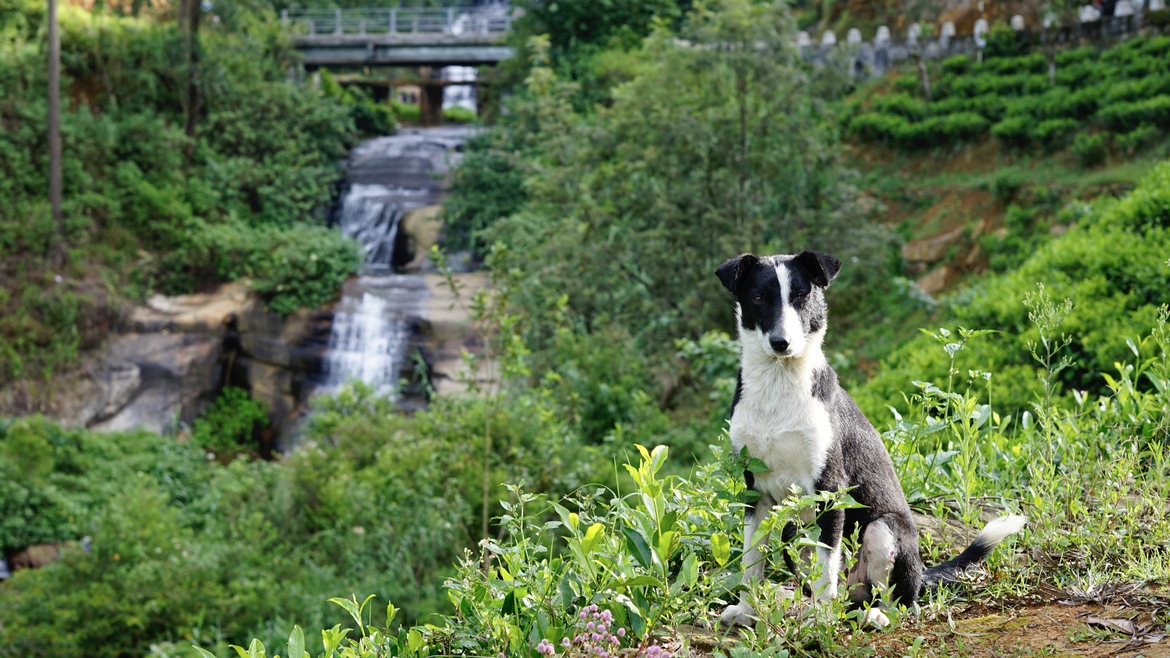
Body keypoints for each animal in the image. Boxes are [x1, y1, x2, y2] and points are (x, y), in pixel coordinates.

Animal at [711, 249, 1024, 622]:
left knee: (896, 601)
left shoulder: (829, 489)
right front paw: (747, 612)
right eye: (758, 298)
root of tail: (920, 575)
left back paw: (874, 616)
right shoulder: (754, 492)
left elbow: (825, 569)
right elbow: (750, 562)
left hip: (883, 530)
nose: (781, 343)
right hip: (793, 532)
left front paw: (820, 622)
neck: (778, 386)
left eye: (801, 295)